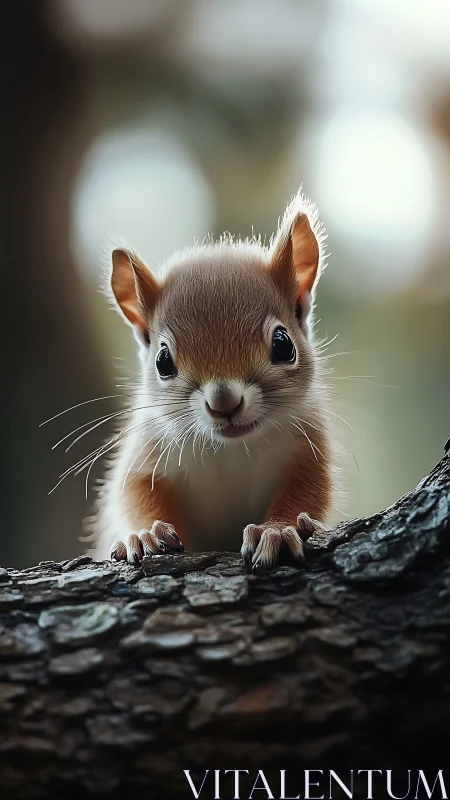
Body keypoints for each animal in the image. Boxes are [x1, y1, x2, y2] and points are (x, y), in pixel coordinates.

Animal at [92, 191, 338, 571]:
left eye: (284, 345)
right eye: (162, 361)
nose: (224, 402)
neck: (231, 449)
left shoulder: (307, 446)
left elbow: (308, 492)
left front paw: (277, 531)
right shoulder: (148, 451)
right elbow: (134, 493)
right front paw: (146, 535)